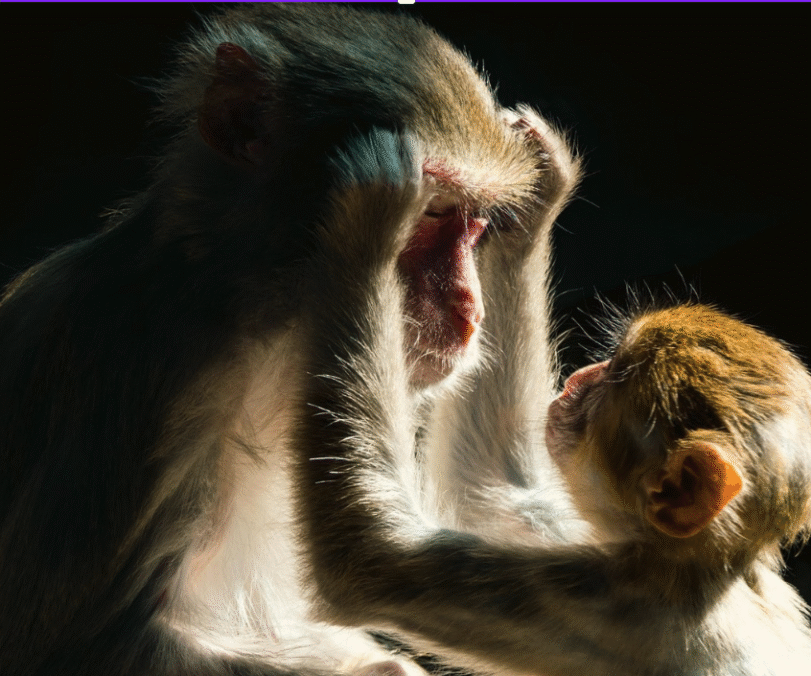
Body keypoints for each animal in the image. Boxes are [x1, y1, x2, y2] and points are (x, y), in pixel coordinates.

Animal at [0, 5, 581, 676]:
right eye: (434, 212)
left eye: (474, 221)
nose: (468, 309)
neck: (249, 309)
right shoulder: (157, 376)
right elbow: (73, 641)